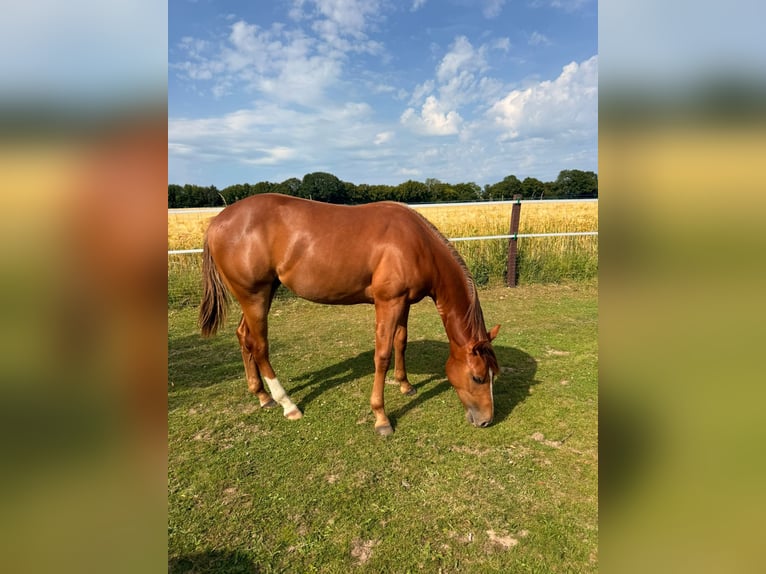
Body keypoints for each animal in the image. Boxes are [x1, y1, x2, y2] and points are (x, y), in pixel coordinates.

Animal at [199, 193, 500, 435]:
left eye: (493, 375)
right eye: (478, 377)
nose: (486, 420)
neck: (417, 245)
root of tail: (217, 221)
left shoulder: (403, 303)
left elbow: (400, 342)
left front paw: (405, 385)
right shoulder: (388, 303)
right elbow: (382, 355)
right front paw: (381, 418)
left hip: (260, 294)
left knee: (244, 336)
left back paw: (262, 395)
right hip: (255, 296)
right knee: (259, 346)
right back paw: (288, 404)